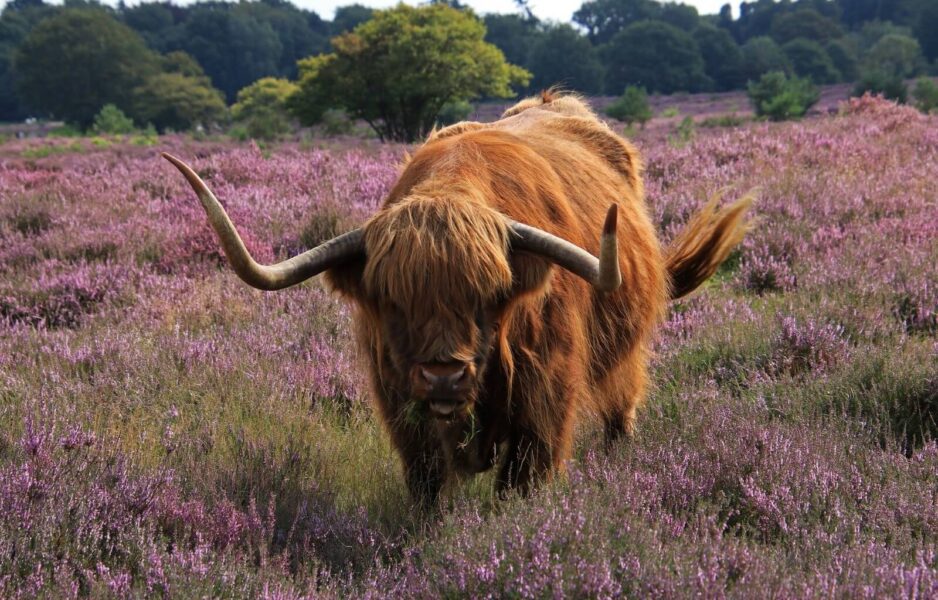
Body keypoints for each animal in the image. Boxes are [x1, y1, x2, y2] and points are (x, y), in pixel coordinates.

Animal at [162, 91, 752, 507]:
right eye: (393, 301)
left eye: (487, 297)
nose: (443, 376)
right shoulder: (401, 402)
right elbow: (426, 482)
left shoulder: (546, 394)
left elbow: (524, 479)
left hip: (624, 355)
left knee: (620, 408)